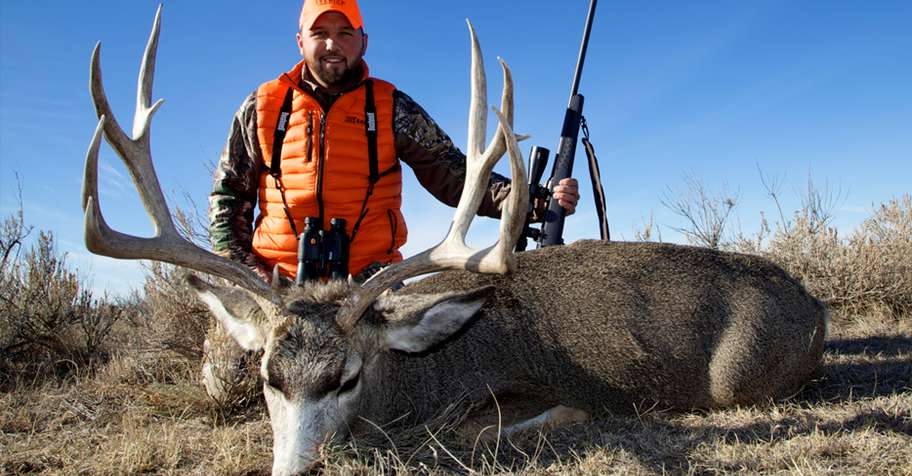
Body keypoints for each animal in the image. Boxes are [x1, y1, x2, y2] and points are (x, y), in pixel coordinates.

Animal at [82, 7, 828, 476]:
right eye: (270, 378)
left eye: (347, 378)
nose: (298, 468)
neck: (418, 371)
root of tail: (816, 306)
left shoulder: (522, 393)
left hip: (739, 378)